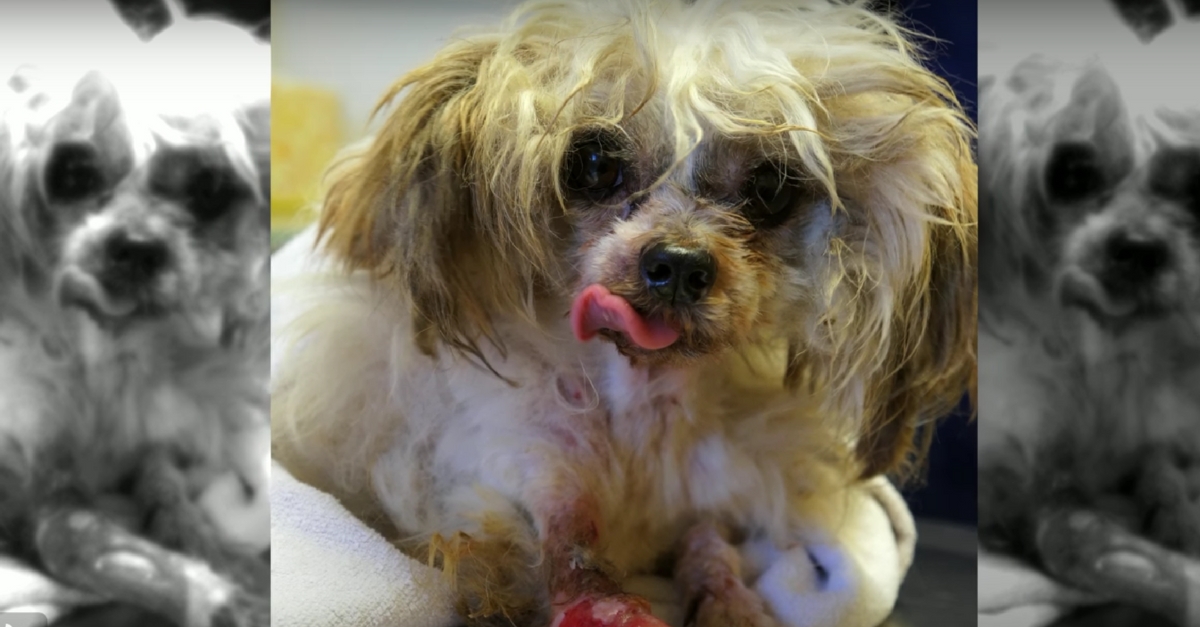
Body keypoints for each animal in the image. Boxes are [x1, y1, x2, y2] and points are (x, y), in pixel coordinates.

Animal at [0, 21, 272, 627]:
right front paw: (209, 593)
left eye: (208, 187)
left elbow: (167, 494)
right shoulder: (32, 484)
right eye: (73, 172)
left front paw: (213, 556)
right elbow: (79, 541)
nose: (140, 248)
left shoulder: (150, 438)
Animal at [271, 1, 976, 626]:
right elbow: (565, 557)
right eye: (591, 163)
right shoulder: (521, 470)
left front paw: (729, 602)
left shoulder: (707, 497)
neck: (642, 418)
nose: (680, 264)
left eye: (771, 188)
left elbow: (710, 548)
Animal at [977, 43, 1200, 625]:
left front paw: (1174, 515)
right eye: (1072, 173)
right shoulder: (1011, 475)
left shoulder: (1153, 430)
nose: (1141, 249)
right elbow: (1070, 533)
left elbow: (1161, 466)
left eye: (1196, 187)